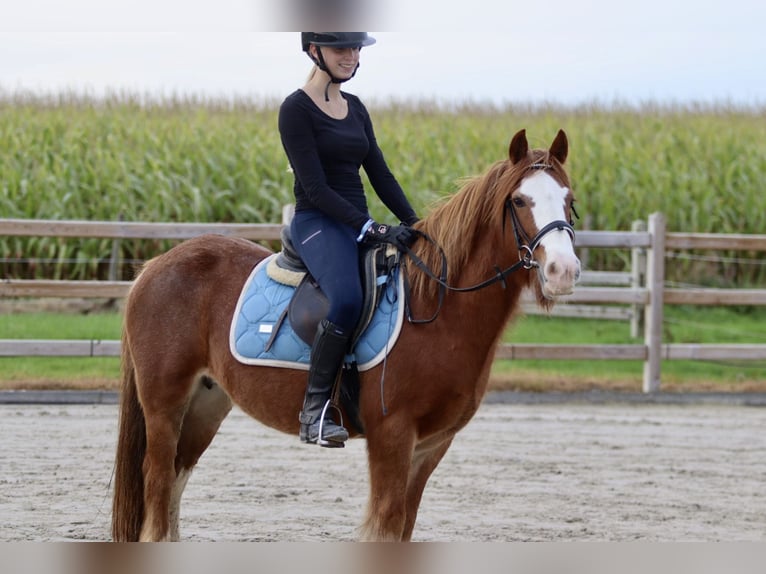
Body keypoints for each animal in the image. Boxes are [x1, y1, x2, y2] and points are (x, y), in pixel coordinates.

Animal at [111, 128, 584, 544]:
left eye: (570, 200)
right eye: (519, 200)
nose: (563, 271)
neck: (436, 309)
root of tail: (153, 266)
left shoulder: (432, 446)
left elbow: (404, 527)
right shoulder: (392, 436)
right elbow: (385, 528)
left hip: (206, 403)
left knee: (175, 481)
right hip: (164, 405)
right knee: (157, 485)